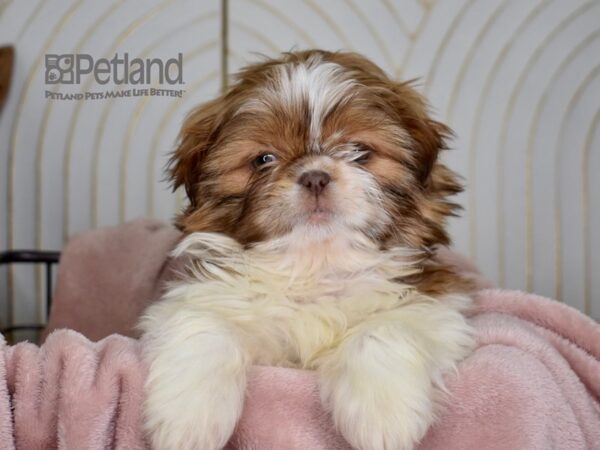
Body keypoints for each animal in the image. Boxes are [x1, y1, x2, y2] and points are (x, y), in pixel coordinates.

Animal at [139, 49, 474, 450]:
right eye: (264, 159)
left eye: (359, 151)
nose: (315, 176)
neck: (316, 264)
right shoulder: (201, 297)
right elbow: (204, 325)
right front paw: (188, 422)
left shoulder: (433, 302)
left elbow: (385, 329)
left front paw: (383, 417)